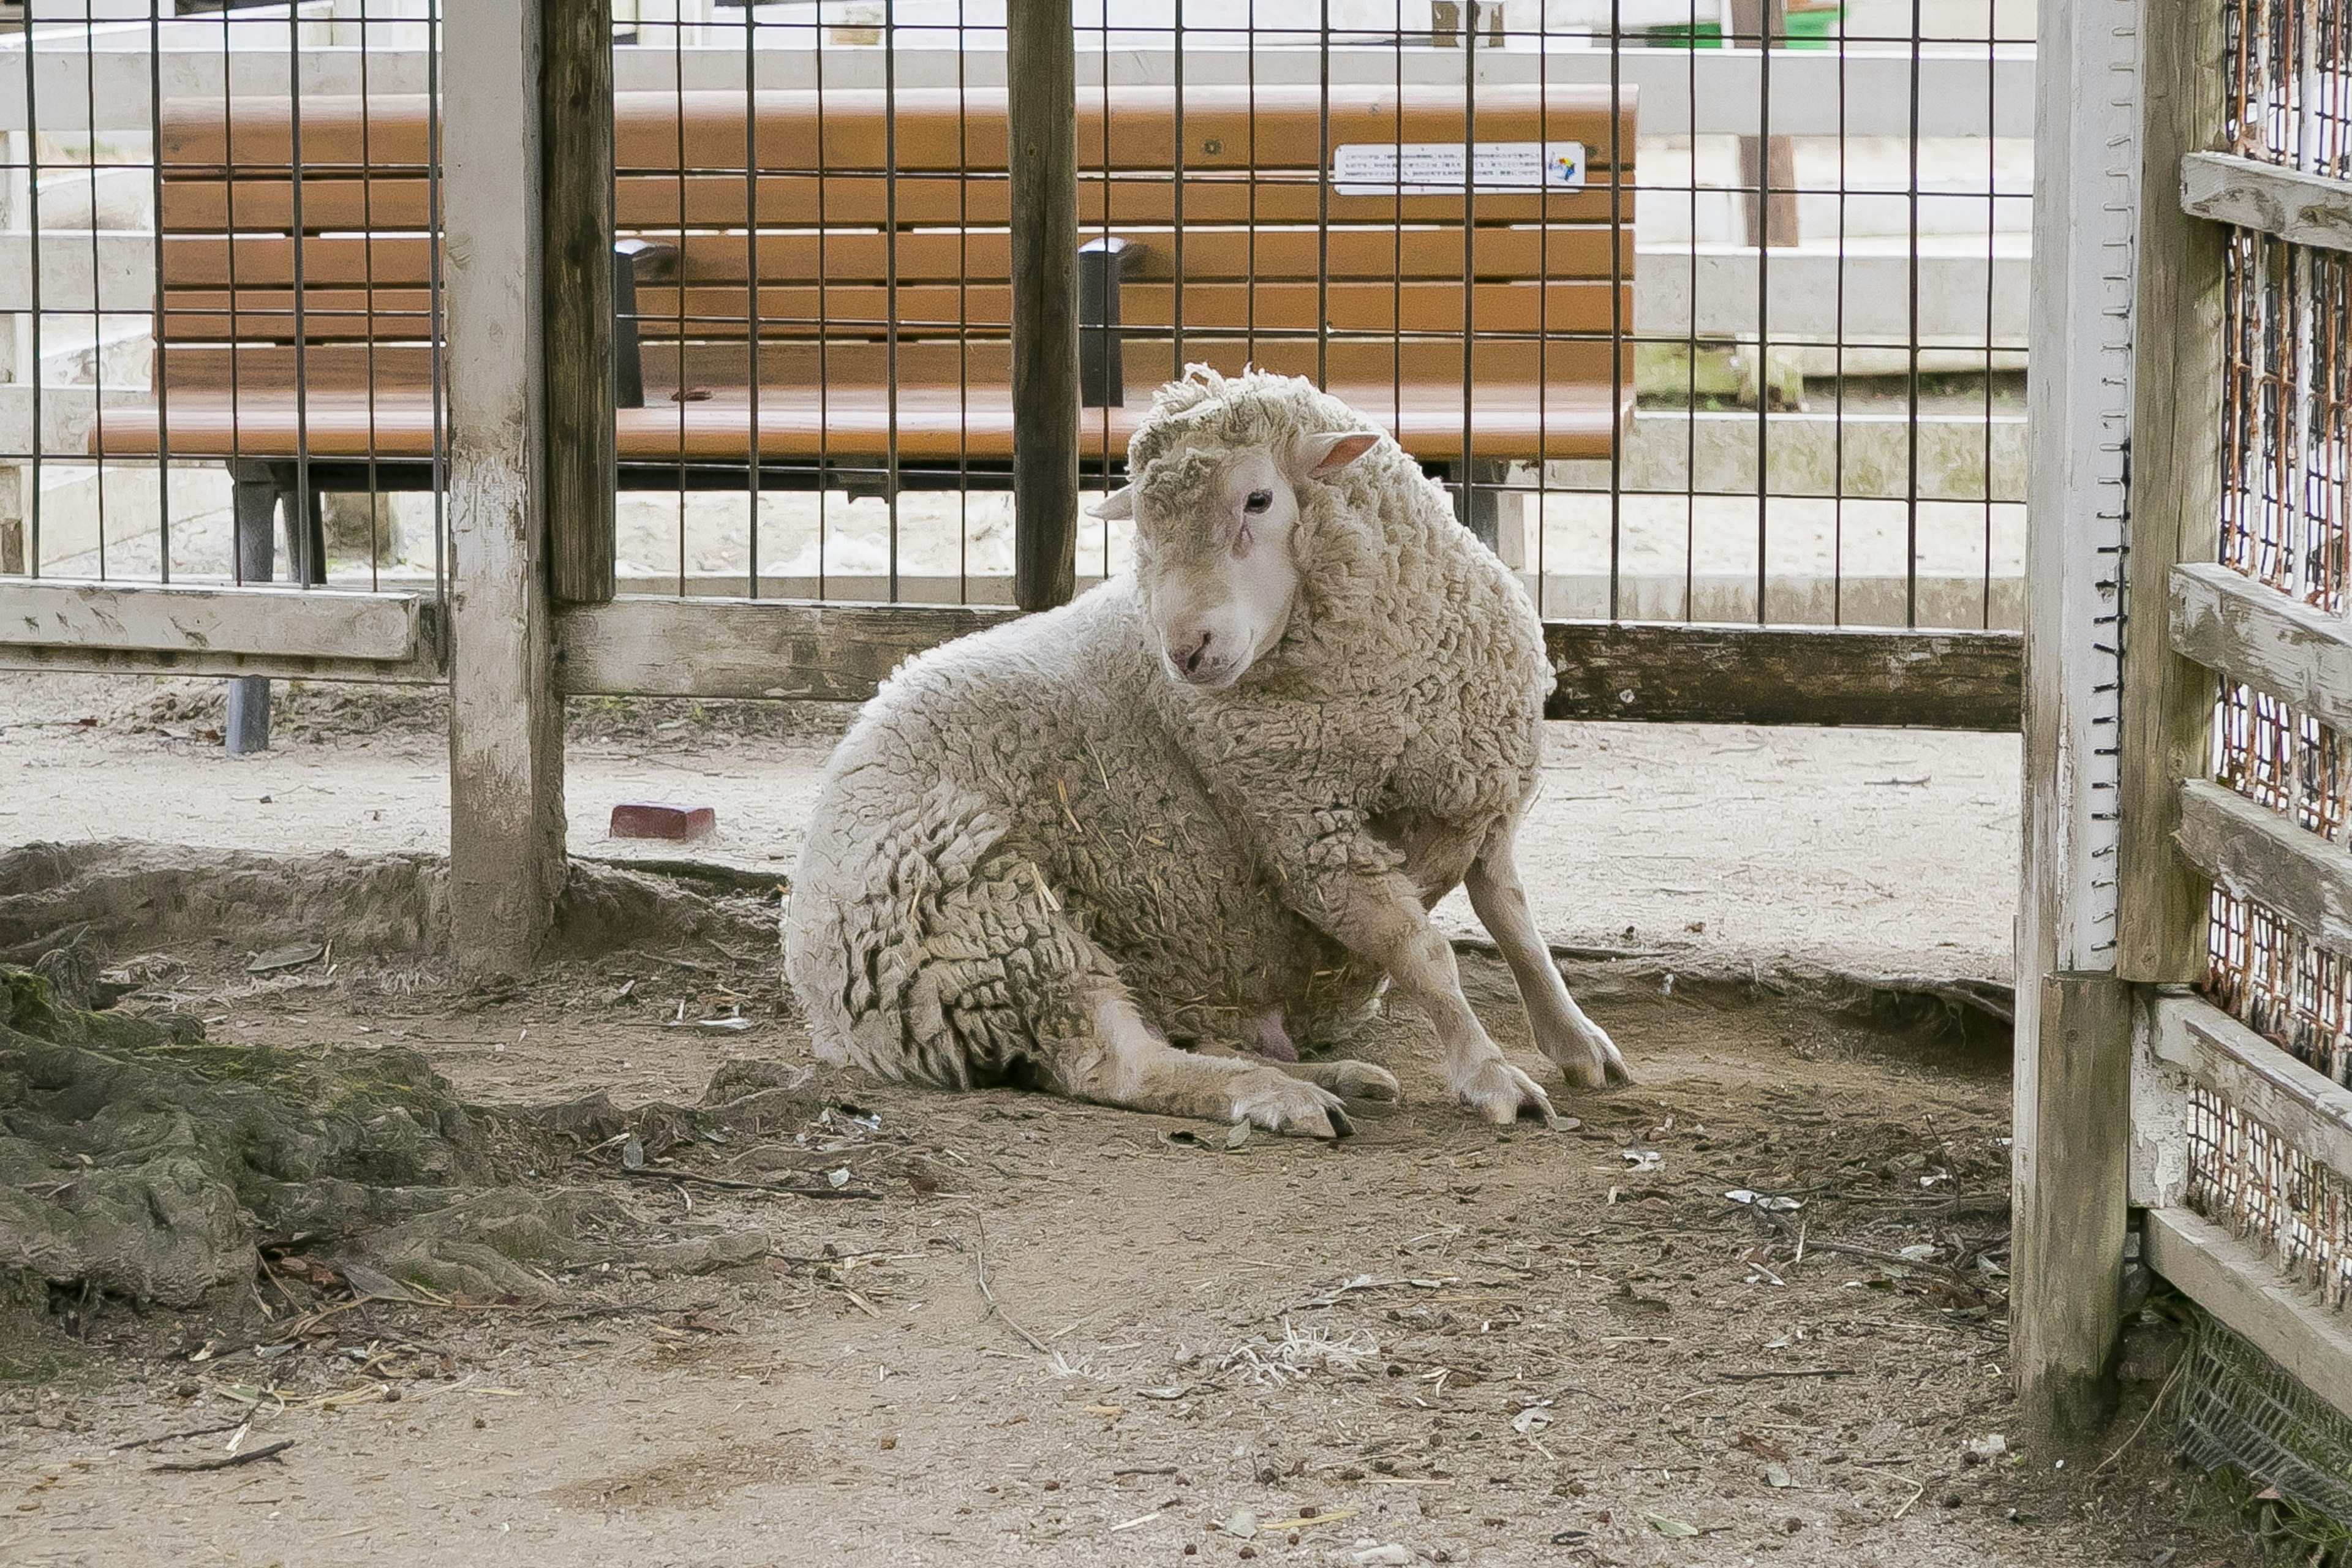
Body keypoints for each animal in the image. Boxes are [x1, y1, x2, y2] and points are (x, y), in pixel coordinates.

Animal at [780, 364, 1627, 1142]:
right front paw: (1490, 1074)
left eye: (1259, 500)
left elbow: (1515, 921)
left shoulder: (1478, 797)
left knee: (1182, 1037)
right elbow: (1423, 954)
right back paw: (1278, 1096)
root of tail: (818, 1001)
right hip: (995, 918)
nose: (1186, 651)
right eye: (1143, 527)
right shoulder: (1306, 838)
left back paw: (1330, 1075)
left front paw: (1576, 1040)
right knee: (1118, 1064)